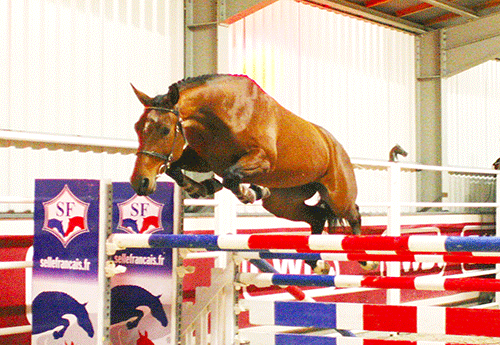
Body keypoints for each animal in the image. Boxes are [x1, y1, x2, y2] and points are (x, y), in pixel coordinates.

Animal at [131, 74, 362, 272]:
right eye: (137, 127)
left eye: (165, 130)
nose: (140, 182)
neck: (223, 114)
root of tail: (335, 145)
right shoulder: (204, 160)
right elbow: (174, 168)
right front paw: (199, 188)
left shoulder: (262, 159)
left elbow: (230, 176)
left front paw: (247, 193)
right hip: (283, 203)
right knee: (317, 217)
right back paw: (317, 263)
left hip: (337, 197)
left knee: (353, 214)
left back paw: (364, 260)